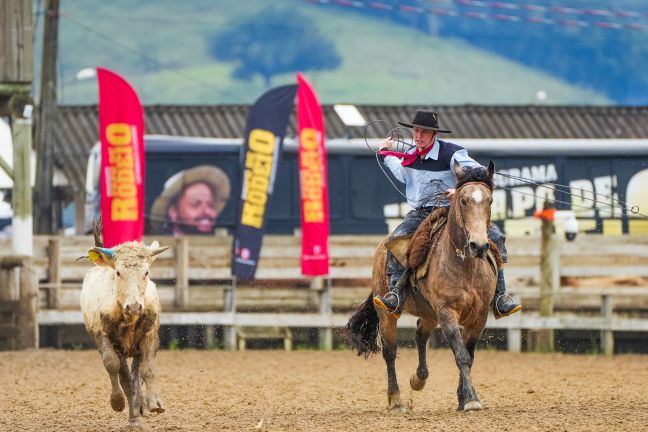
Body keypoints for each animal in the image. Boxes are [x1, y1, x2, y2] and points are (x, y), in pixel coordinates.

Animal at [80, 236, 170, 428]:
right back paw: (134, 417)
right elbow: (113, 366)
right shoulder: (106, 339)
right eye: (118, 272)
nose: (134, 306)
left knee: (137, 374)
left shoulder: (149, 337)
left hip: (137, 349)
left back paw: (141, 406)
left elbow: (147, 370)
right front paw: (117, 401)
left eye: (146, 272)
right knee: (128, 379)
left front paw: (153, 402)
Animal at [350, 160, 496, 414]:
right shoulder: (447, 312)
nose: (478, 245)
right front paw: (471, 400)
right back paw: (396, 401)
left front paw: (463, 398)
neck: (465, 266)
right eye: (463, 200)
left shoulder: (479, 316)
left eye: (490, 201)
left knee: (420, 335)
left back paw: (418, 379)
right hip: (388, 313)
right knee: (390, 351)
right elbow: (461, 355)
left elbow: (468, 355)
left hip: (429, 314)